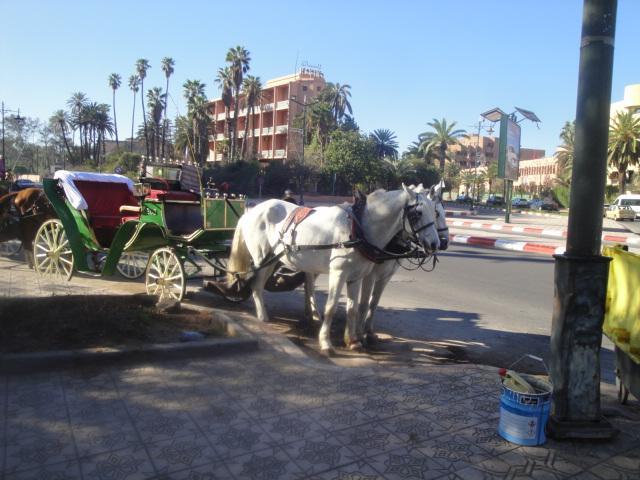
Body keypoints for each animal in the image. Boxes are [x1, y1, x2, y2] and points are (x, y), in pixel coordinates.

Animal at [225, 186, 440, 354]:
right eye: (417, 213)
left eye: (435, 213)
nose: (436, 244)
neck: (359, 229)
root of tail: (252, 211)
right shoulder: (338, 273)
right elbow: (331, 307)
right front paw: (326, 342)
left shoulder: (356, 277)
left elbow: (353, 308)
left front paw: (353, 340)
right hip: (263, 258)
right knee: (256, 285)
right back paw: (262, 316)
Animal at [356, 183, 450, 344]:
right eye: (437, 213)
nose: (441, 243)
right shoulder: (370, 275)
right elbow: (364, 303)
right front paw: (360, 335)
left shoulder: (386, 276)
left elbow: (374, 302)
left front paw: (369, 331)